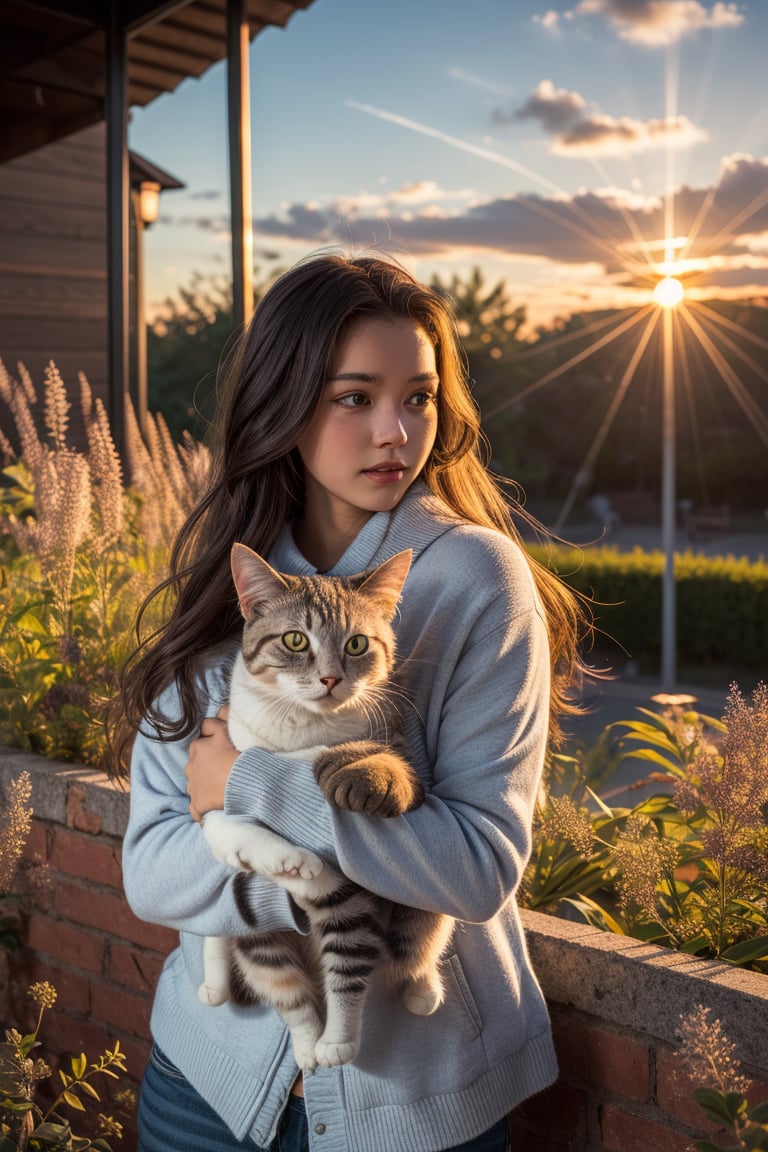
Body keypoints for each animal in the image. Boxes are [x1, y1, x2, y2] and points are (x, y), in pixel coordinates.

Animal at [200, 543, 455, 1064]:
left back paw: (406, 1000)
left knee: (410, 943)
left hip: (415, 917)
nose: (331, 679)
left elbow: (371, 761)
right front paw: (287, 861)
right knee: (283, 989)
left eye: (356, 645)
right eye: (295, 640)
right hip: (261, 944)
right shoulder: (221, 772)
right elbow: (227, 822)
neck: (303, 725)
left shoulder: (392, 743)